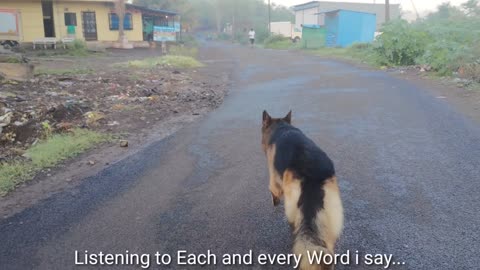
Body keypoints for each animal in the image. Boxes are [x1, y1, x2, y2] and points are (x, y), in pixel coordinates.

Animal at [260, 110, 344, 268]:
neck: (281, 127)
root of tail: (312, 173)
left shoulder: (274, 179)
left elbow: (273, 191)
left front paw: (274, 201)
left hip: (293, 209)